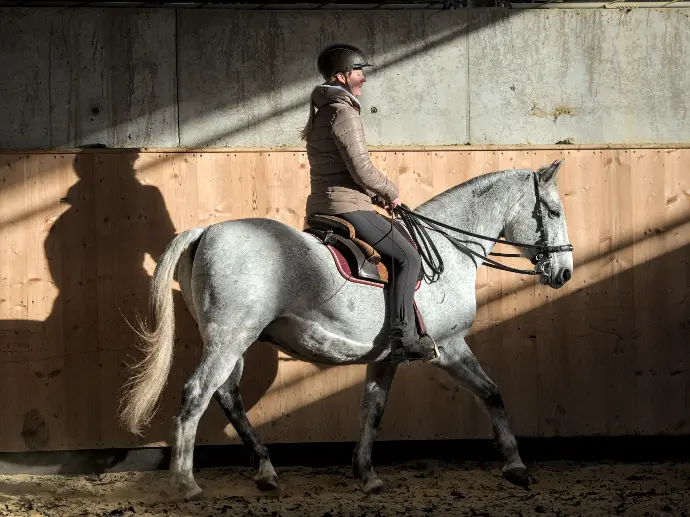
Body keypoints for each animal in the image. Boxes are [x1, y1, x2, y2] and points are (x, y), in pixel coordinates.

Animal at [117, 161, 568, 500]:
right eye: (554, 211)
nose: (564, 272)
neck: (448, 250)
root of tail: (205, 231)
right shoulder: (450, 346)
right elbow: (491, 392)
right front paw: (516, 465)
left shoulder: (387, 358)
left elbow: (373, 409)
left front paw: (366, 474)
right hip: (229, 339)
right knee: (197, 395)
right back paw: (187, 484)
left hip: (234, 342)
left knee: (228, 396)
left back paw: (265, 471)